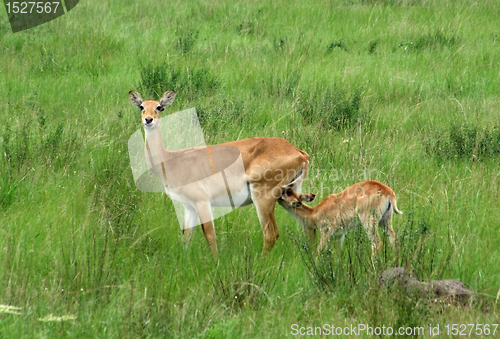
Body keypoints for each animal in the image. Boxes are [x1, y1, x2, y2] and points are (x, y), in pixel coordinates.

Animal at [129, 91, 308, 258]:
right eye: (142, 107)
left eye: (159, 107)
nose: (148, 120)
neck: (170, 160)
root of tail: (299, 153)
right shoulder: (189, 206)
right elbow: (187, 237)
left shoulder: (202, 201)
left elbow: (210, 235)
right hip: (288, 197)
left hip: (264, 198)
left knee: (271, 234)